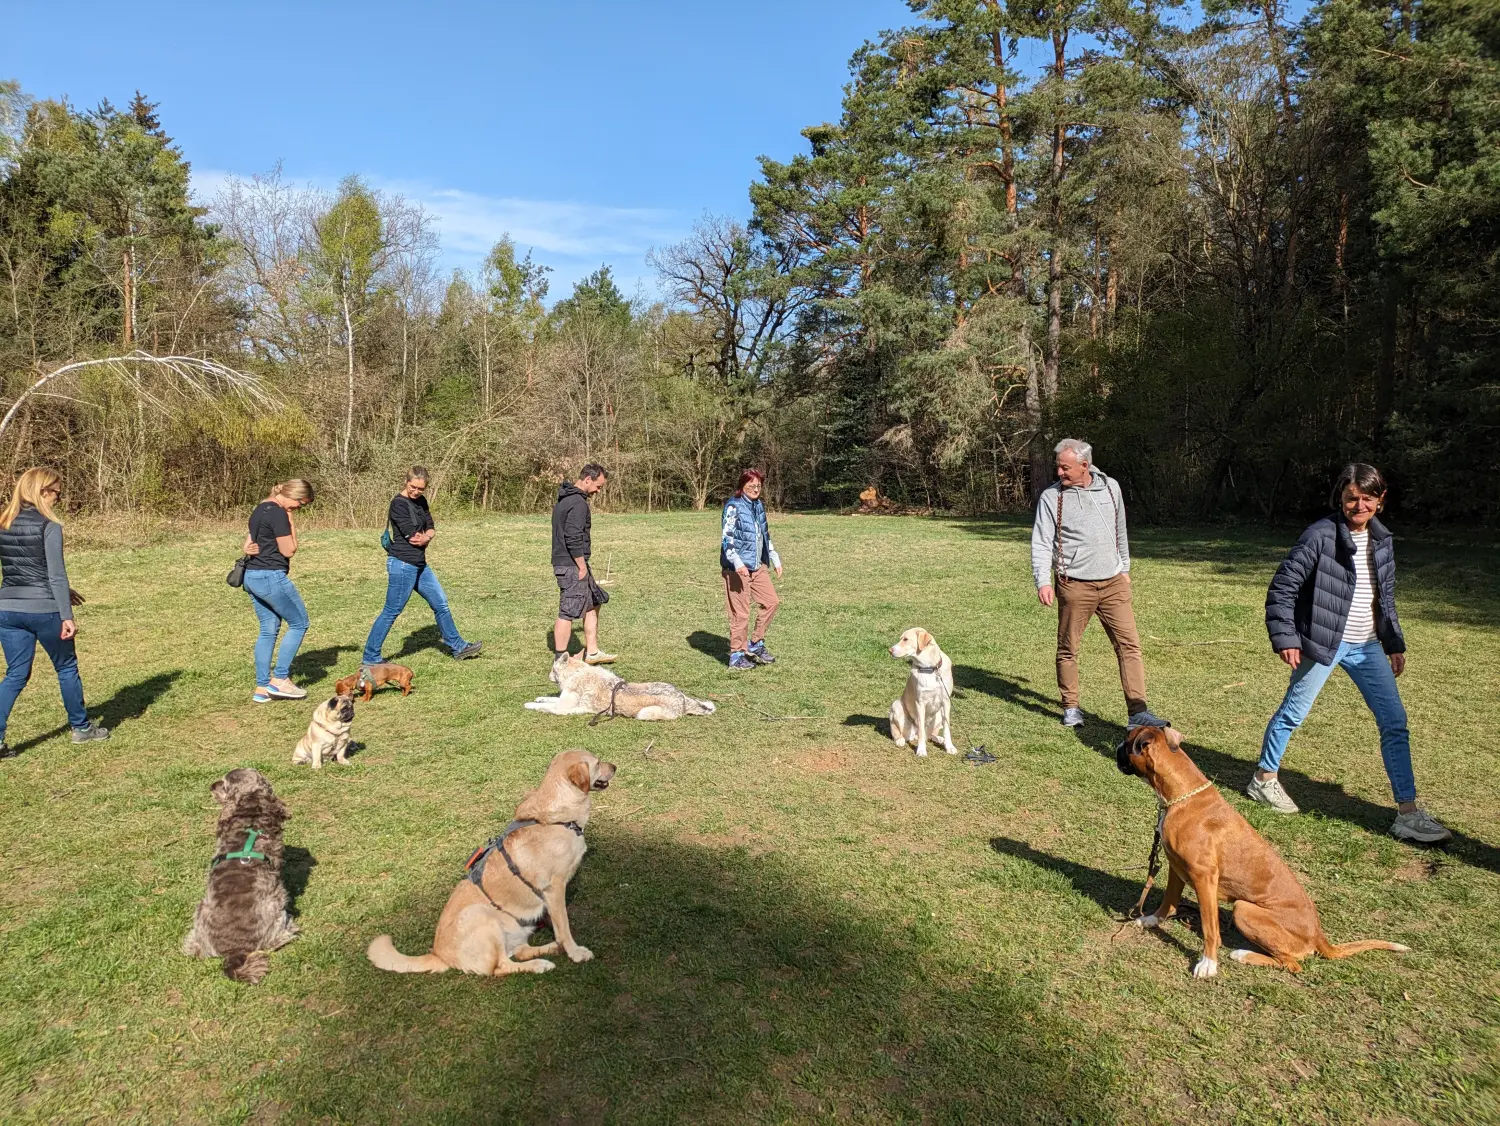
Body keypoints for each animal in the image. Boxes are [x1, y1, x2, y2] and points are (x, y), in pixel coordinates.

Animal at [183, 773, 297, 983]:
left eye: (224, 784)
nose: (212, 786)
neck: (250, 818)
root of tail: (234, 951)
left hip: (200, 909)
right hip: (277, 907)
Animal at [525, 650, 717, 722]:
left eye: (552, 669)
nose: (548, 676)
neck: (577, 673)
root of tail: (682, 698)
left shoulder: (565, 709)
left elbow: (545, 707)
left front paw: (529, 704)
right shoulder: (562, 701)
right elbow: (548, 699)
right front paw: (539, 697)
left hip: (642, 714)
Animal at [882, 626, 954, 758]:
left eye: (905, 639)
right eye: (901, 638)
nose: (890, 650)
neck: (930, 668)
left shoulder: (946, 701)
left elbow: (947, 728)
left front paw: (949, 747)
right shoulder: (920, 703)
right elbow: (920, 729)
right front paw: (921, 750)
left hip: (938, 714)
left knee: (929, 735)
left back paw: (938, 738)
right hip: (896, 705)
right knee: (901, 734)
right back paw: (900, 740)